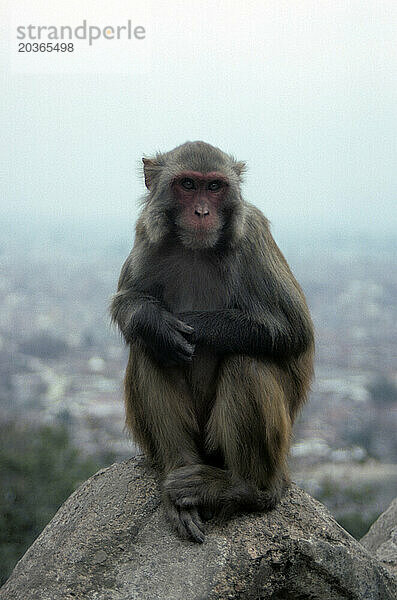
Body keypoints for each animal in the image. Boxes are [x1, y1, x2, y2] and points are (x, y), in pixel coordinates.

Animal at [110, 141, 312, 544]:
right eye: (188, 184)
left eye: (215, 187)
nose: (202, 212)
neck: (195, 248)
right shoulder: (146, 234)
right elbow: (128, 302)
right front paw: (156, 323)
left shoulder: (252, 236)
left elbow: (293, 330)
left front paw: (194, 324)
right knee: (151, 351)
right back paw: (180, 475)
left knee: (246, 361)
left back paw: (244, 489)